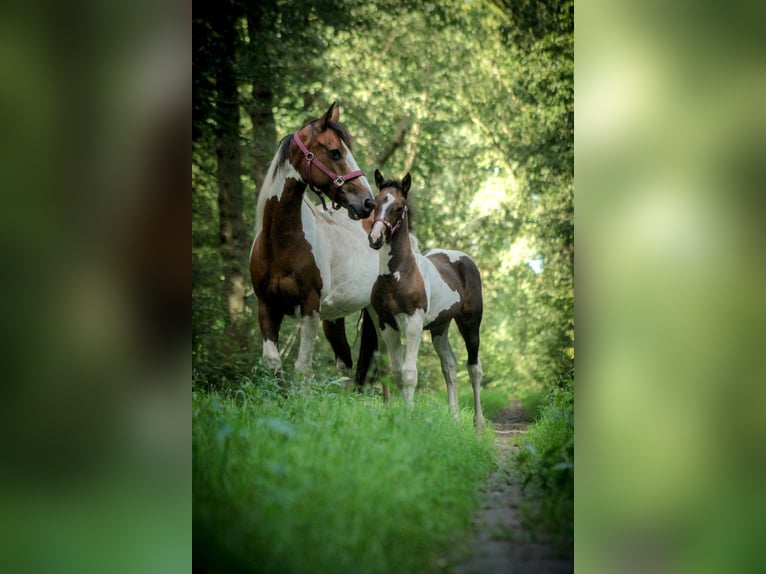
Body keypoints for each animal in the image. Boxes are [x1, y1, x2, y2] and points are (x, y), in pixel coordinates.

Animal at [252, 102, 380, 388]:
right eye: (335, 152)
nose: (368, 202)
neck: (281, 243)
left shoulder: (309, 306)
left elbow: (302, 369)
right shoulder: (267, 305)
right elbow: (273, 363)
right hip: (334, 318)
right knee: (345, 363)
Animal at [368, 169, 486, 430]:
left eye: (399, 207)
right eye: (375, 203)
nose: (375, 238)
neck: (398, 274)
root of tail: (464, 259)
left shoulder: (413, 324)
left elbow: (410, 373)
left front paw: (409, 418)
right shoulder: (387, 325)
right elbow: (397, 373)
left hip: (470, 323)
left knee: (474, 368)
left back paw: (478, 424)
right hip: (440, 327)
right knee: (449, 366)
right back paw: (454, 419)